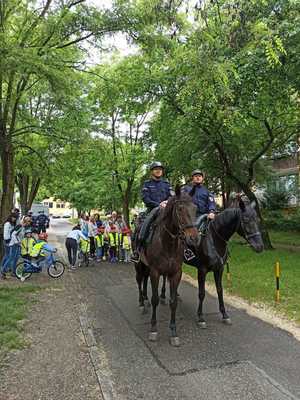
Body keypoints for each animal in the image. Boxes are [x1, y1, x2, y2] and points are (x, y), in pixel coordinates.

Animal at [135, 186, 198, 346]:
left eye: (195, 208)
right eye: (180, 209)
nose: (194, 238)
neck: (167, 242)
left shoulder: (176, 273)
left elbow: (173, 301)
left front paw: (174, 332)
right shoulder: (155, 272)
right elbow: (155, 299)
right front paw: (153, 329)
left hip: (147, 267)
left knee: (144, 280)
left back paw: (145, 299)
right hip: (139, 265)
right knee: (139, 281)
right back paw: (141, 303)